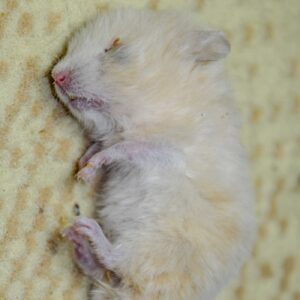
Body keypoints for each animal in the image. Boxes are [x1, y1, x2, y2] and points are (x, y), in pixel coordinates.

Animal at [51, 8, 255, 300]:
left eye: (115, 46)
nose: (55, 75)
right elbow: (105, 146)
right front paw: (82, 167)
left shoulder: (167, 152)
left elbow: (123, 149)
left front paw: (86, 171)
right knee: (108, 273)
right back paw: (77, 242)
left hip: (152, 245)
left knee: (117, 261)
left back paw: (85, 230)